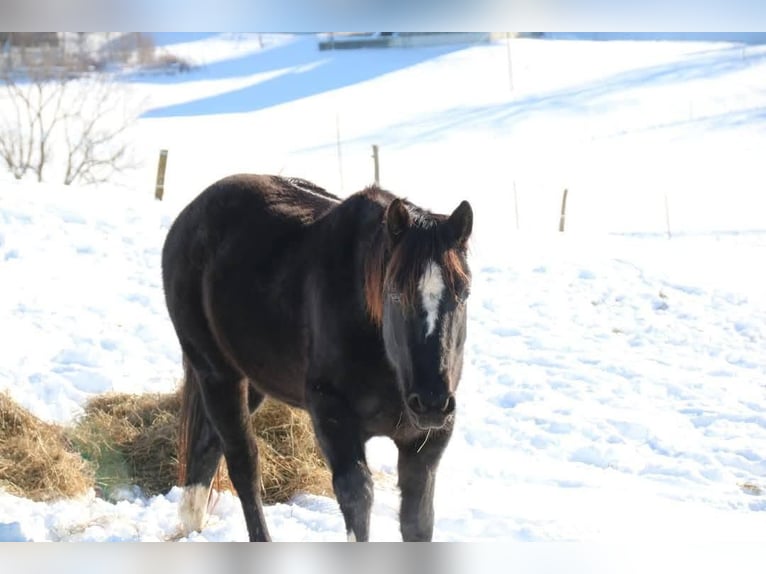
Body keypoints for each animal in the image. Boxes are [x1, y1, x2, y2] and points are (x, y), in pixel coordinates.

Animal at [161, 173, 473, 542]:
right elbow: (357, 498)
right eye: (396, 293)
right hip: (218, 375)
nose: (431, 401)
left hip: (253, 381)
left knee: (209, 446)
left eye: (463, 293)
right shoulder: (332, 417)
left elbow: (418, 521)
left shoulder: (424, 442)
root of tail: (189, 215)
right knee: (243, 462)